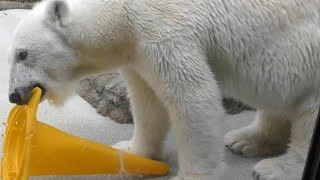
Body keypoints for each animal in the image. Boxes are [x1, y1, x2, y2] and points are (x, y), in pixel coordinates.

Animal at [6, 0, 320, 179]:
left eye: (22, 54)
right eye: (10, 57)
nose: (13, 95)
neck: (119, 13)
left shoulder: (165, 32)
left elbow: (193, 99)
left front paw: (192, 175)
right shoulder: (137, 51)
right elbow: (147, 100)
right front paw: (132, 151)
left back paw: (275, 167)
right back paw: (246, 140)